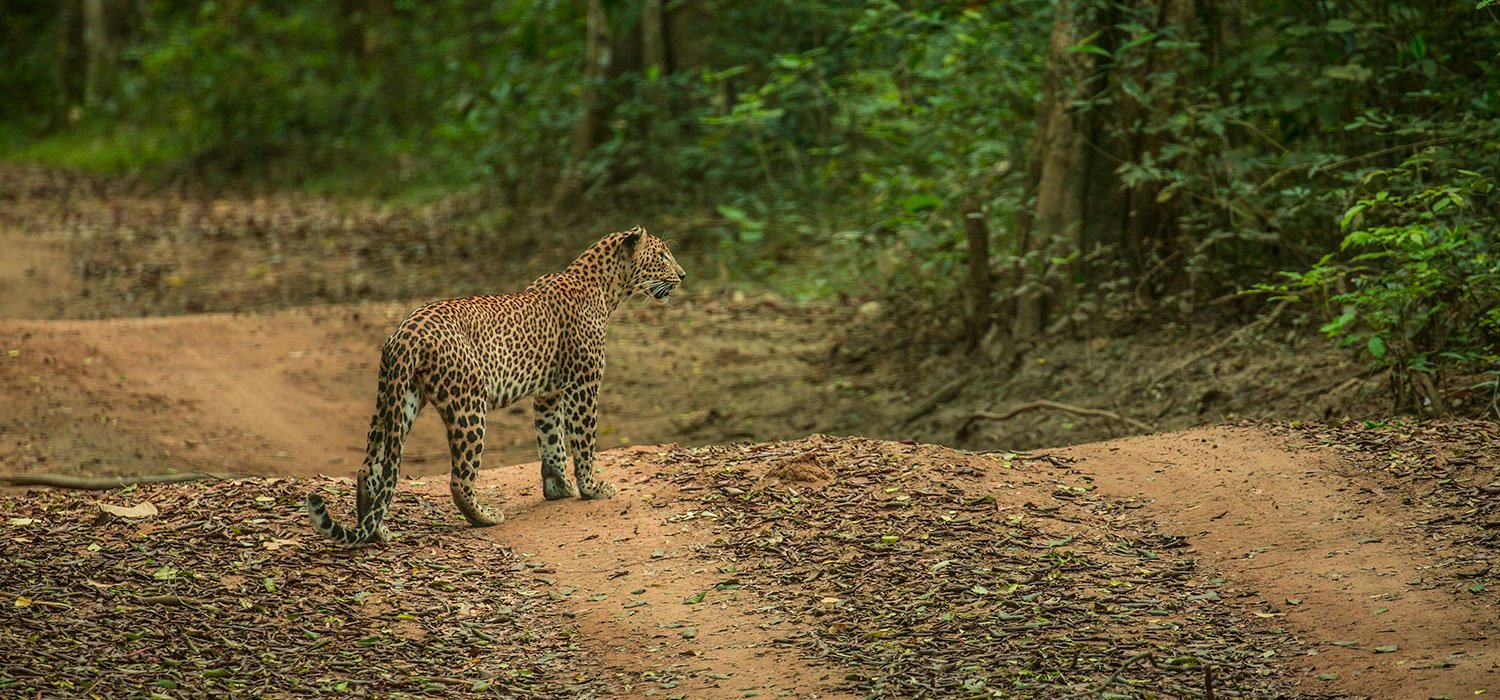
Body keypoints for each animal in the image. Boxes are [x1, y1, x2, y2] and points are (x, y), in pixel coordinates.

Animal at [306, 226, 685, 545]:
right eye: (663, 255)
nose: (682, 275)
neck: (606, 288)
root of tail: (405, 334)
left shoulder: (547, 394)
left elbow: (551, 440)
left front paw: (559, 488)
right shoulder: (583, 384)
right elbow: (583, 439)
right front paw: (591, 488)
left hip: (395, 399)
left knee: (369, 467)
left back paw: (375, 529)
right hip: (467, 404)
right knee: (459, 479)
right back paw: (485, 517)